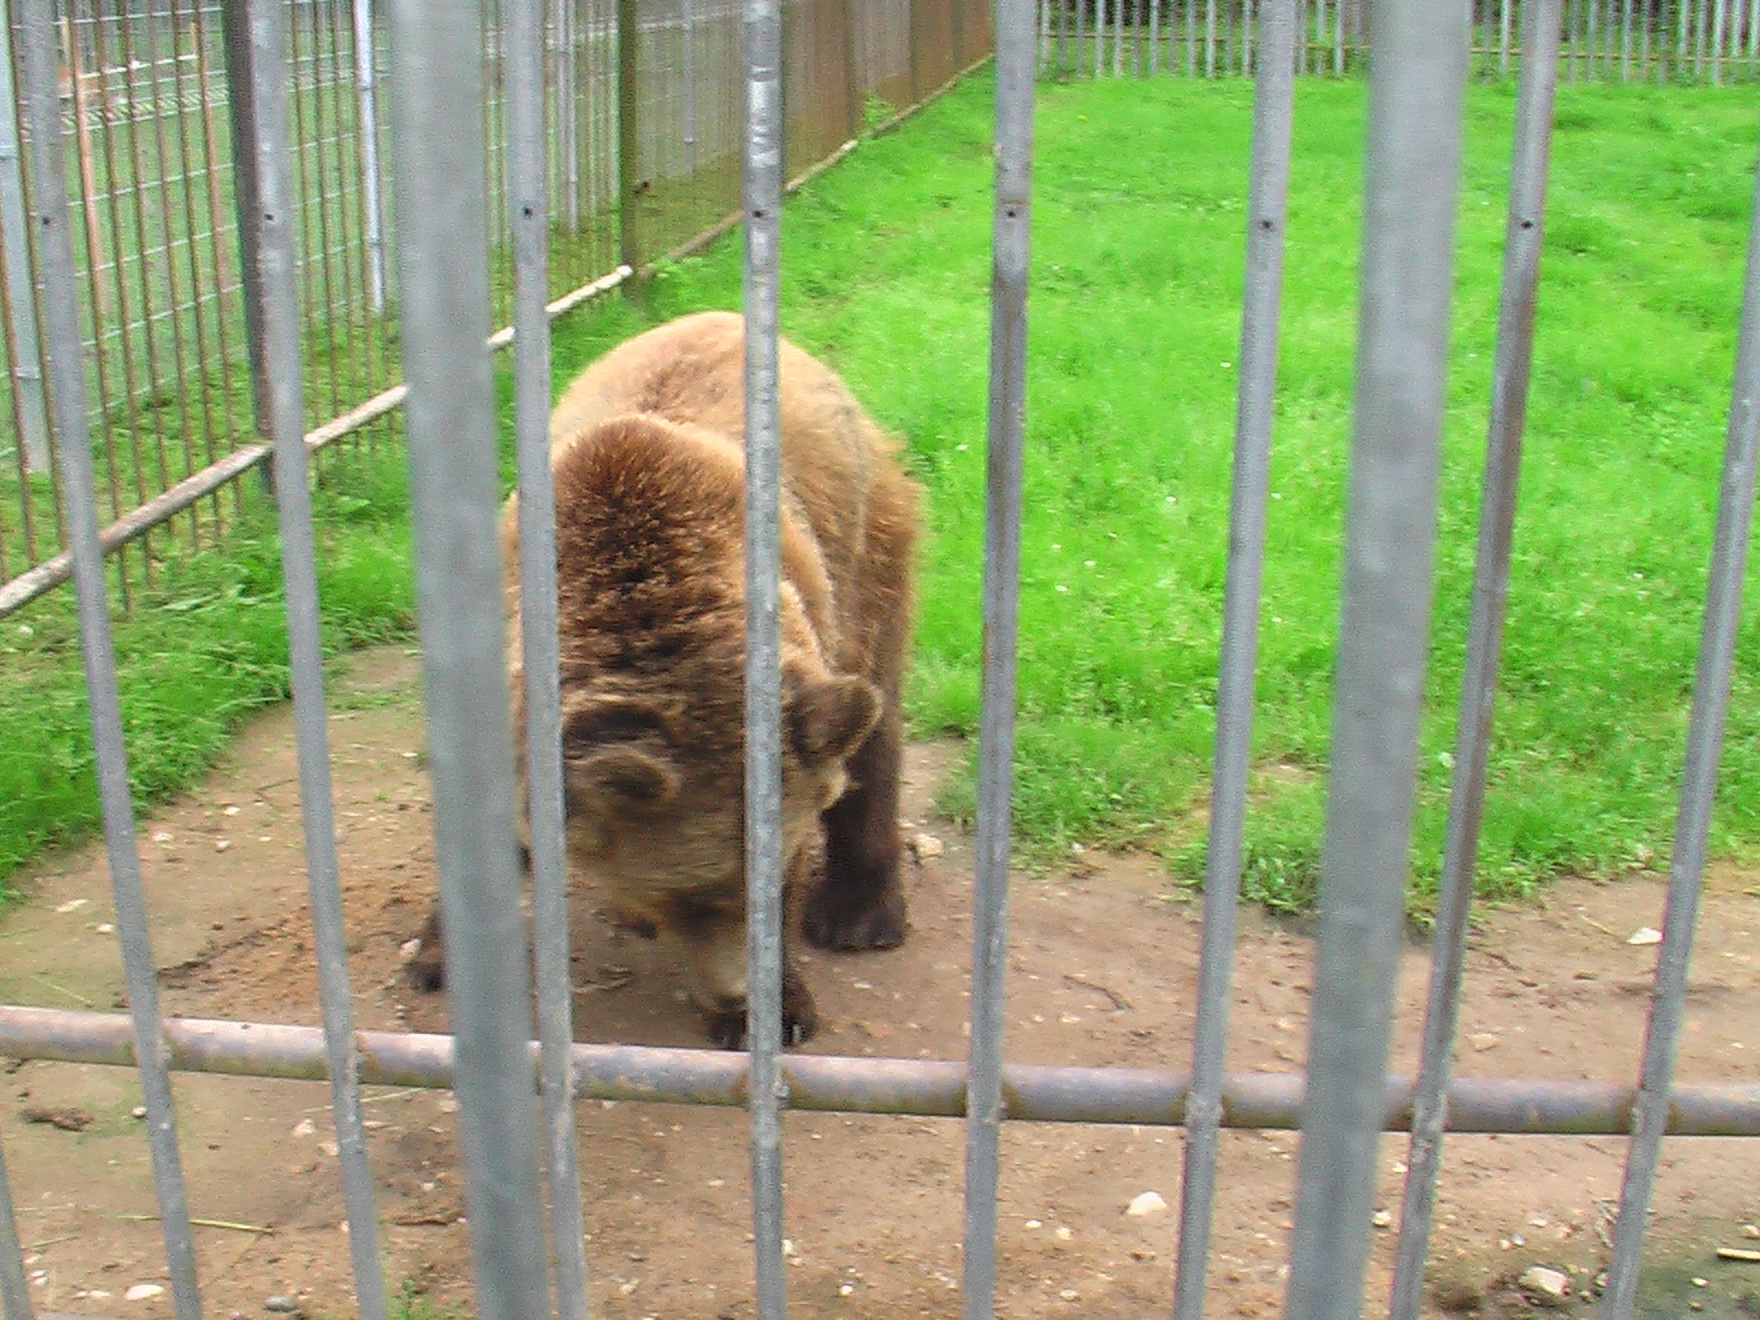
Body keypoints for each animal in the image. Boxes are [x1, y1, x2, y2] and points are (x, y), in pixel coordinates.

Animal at [405, 311, 920, 1049]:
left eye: (779, 876)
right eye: (686, 894)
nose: (738, 991)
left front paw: (778, 1009)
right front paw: (437, 957)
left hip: (866, 542)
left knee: (871, 715)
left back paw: (859, 915)